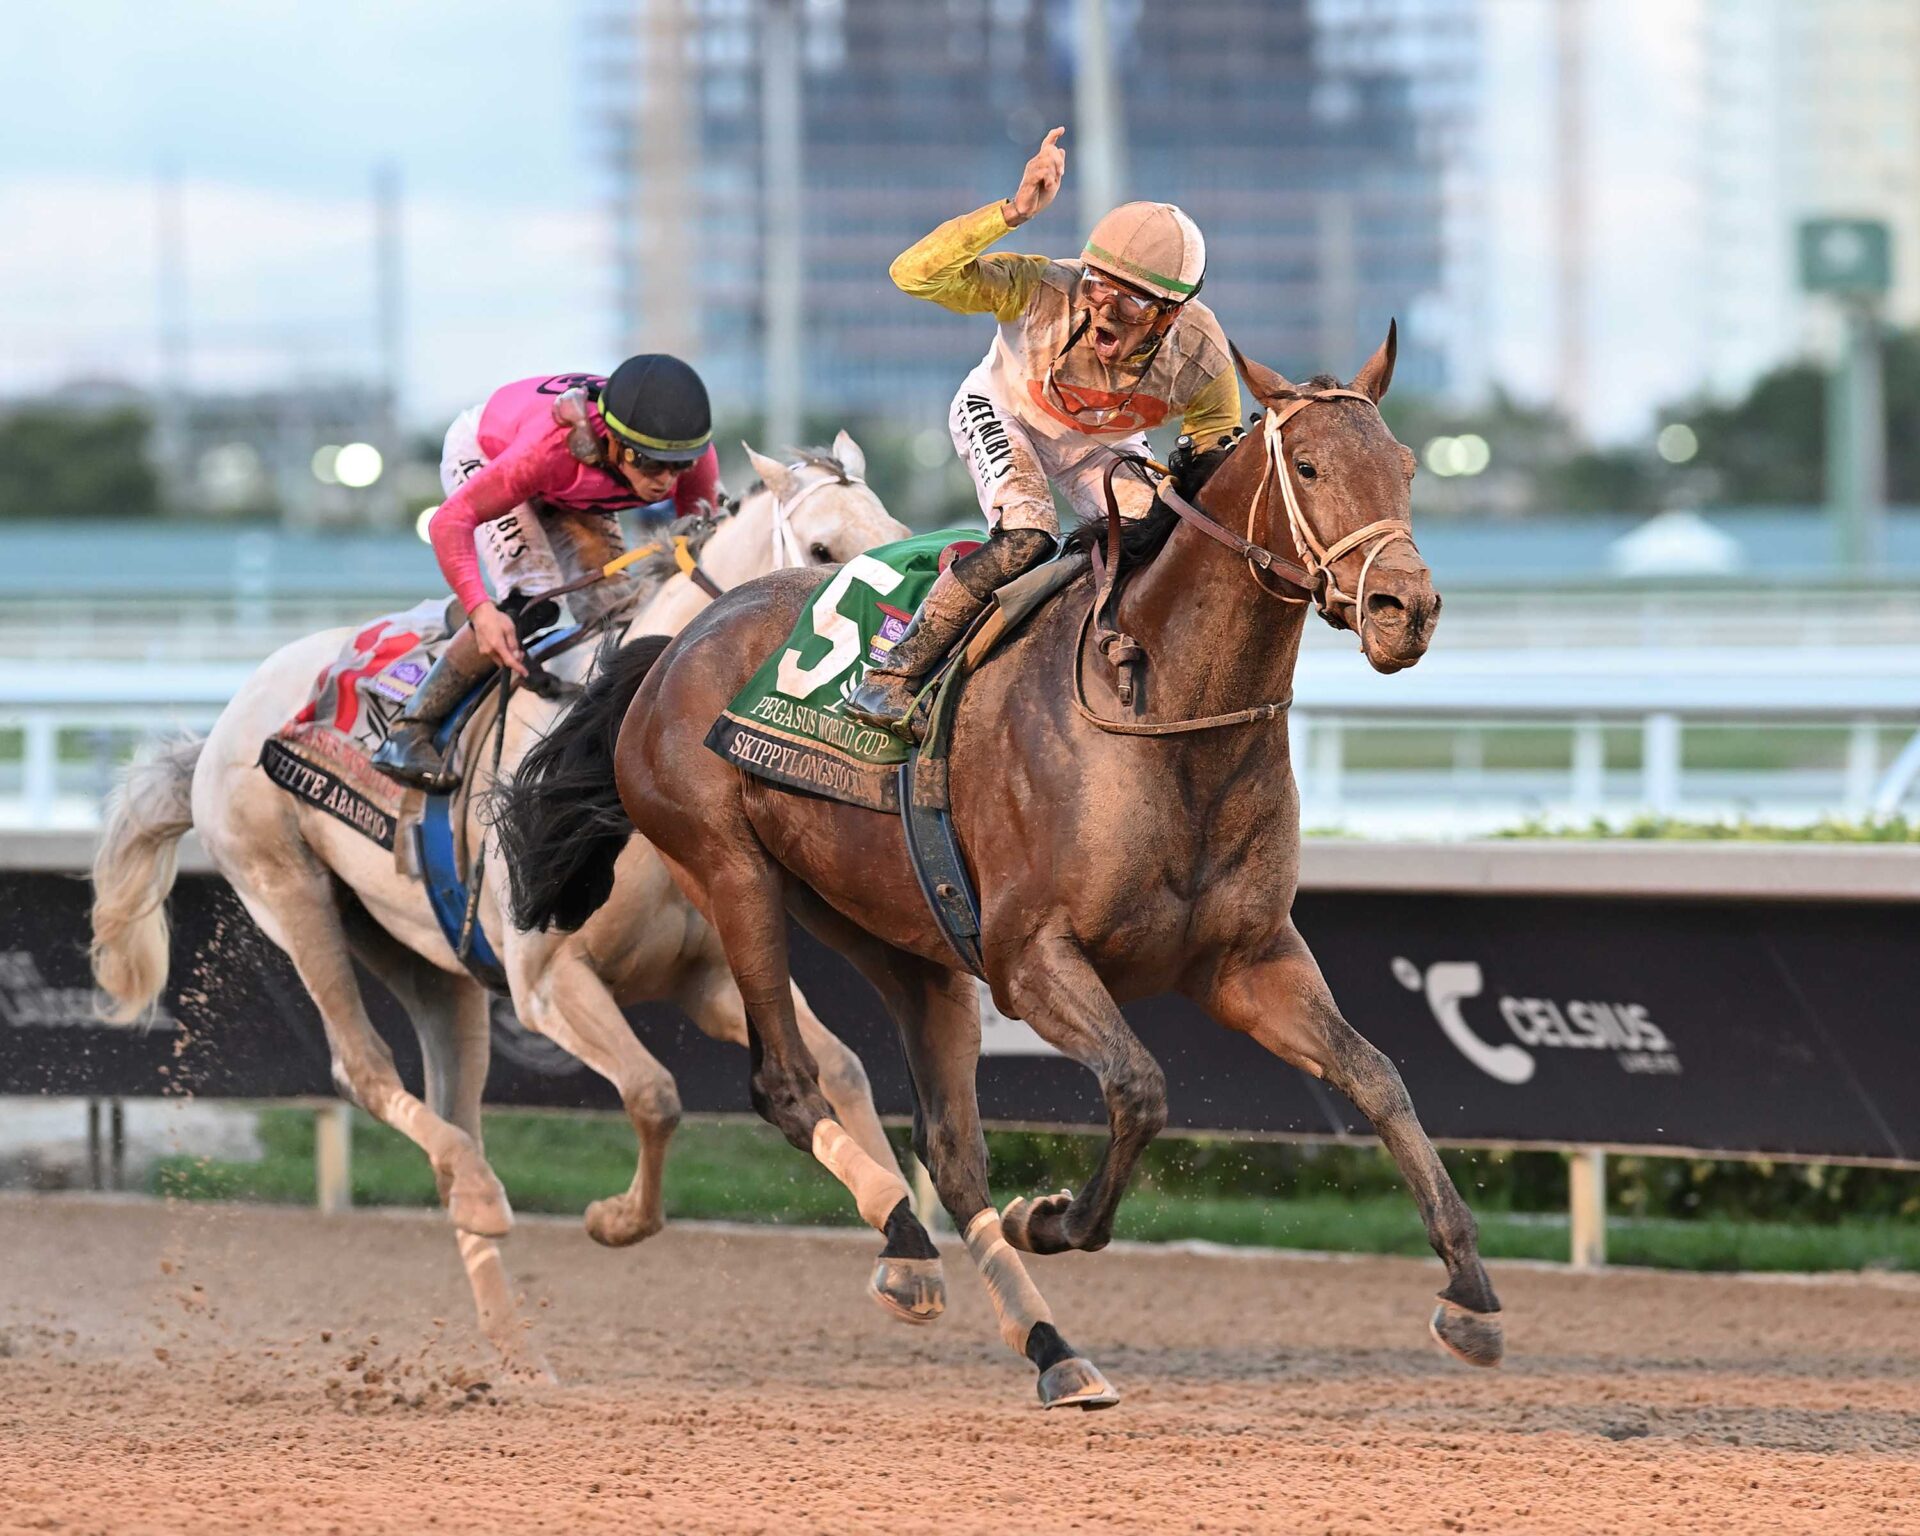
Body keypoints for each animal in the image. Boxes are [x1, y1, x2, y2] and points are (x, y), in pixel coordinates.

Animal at [89, 435, 929, 1377]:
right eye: (822, 549)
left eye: (898, 531)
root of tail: (220, 729)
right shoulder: (547, 980)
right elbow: (655, 1093)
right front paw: (614, 1220)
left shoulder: (704, 975)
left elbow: (843, 1068)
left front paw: (908, 1262)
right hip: (289, 892)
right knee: (364, 1071)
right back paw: (485, 1200)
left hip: (430, 967)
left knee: (450, 1112)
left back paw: (515, 1343)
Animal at [499, 327, 1504, 1408]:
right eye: (1310, 466)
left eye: (1406, 467)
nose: (1407, 608)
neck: (1160, 708)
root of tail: (674, 643)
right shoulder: (1030, 960)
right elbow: (1141, 1088)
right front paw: (1052, 1216)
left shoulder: (1247, 962)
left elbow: (1378, 1078)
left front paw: (1470, 1292)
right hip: (731, 875)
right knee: (788, 1083)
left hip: (901, 937)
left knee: (949, 1148)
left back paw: (1036, 1336)